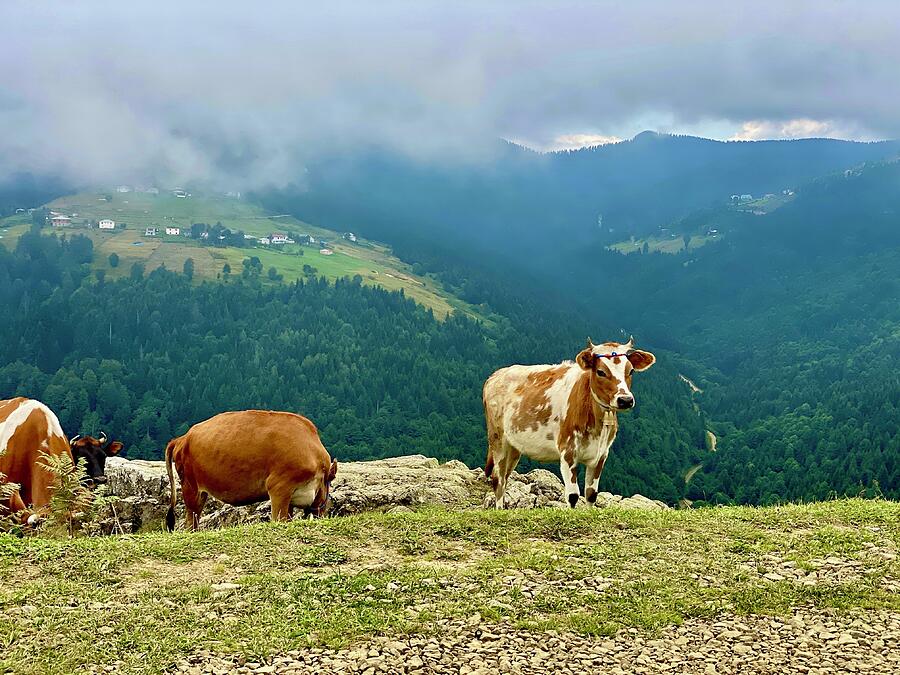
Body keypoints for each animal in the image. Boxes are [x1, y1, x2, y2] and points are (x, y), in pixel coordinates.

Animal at [166, 410, 342, 532]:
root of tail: (183, 437)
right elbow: (279, 519)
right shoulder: (279, 487)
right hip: (190, 486)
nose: (322, 513)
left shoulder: (290, 498)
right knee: (190, 521)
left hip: (201, 492)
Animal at [482, 338, 656, 508]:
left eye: (631, 371)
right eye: (601, 372)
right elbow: (573, 496)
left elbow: (591, 494)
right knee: (498, 479)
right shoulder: (568, 450)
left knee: (505, 477)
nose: (625, 400)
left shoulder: (601, 454)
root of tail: (496, 375)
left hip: (514, 445)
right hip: (498, 439)